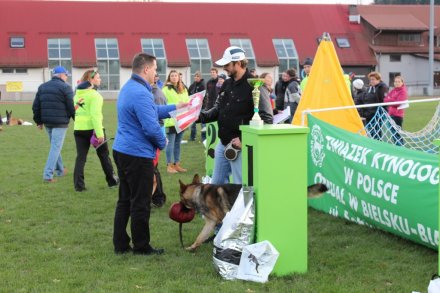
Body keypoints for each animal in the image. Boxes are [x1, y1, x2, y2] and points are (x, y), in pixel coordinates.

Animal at [179, 173, 326, 251]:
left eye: (180, 200)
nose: (178, 208)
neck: (198, 194)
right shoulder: (210, 223)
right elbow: (200, 236)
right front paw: (191, 247)